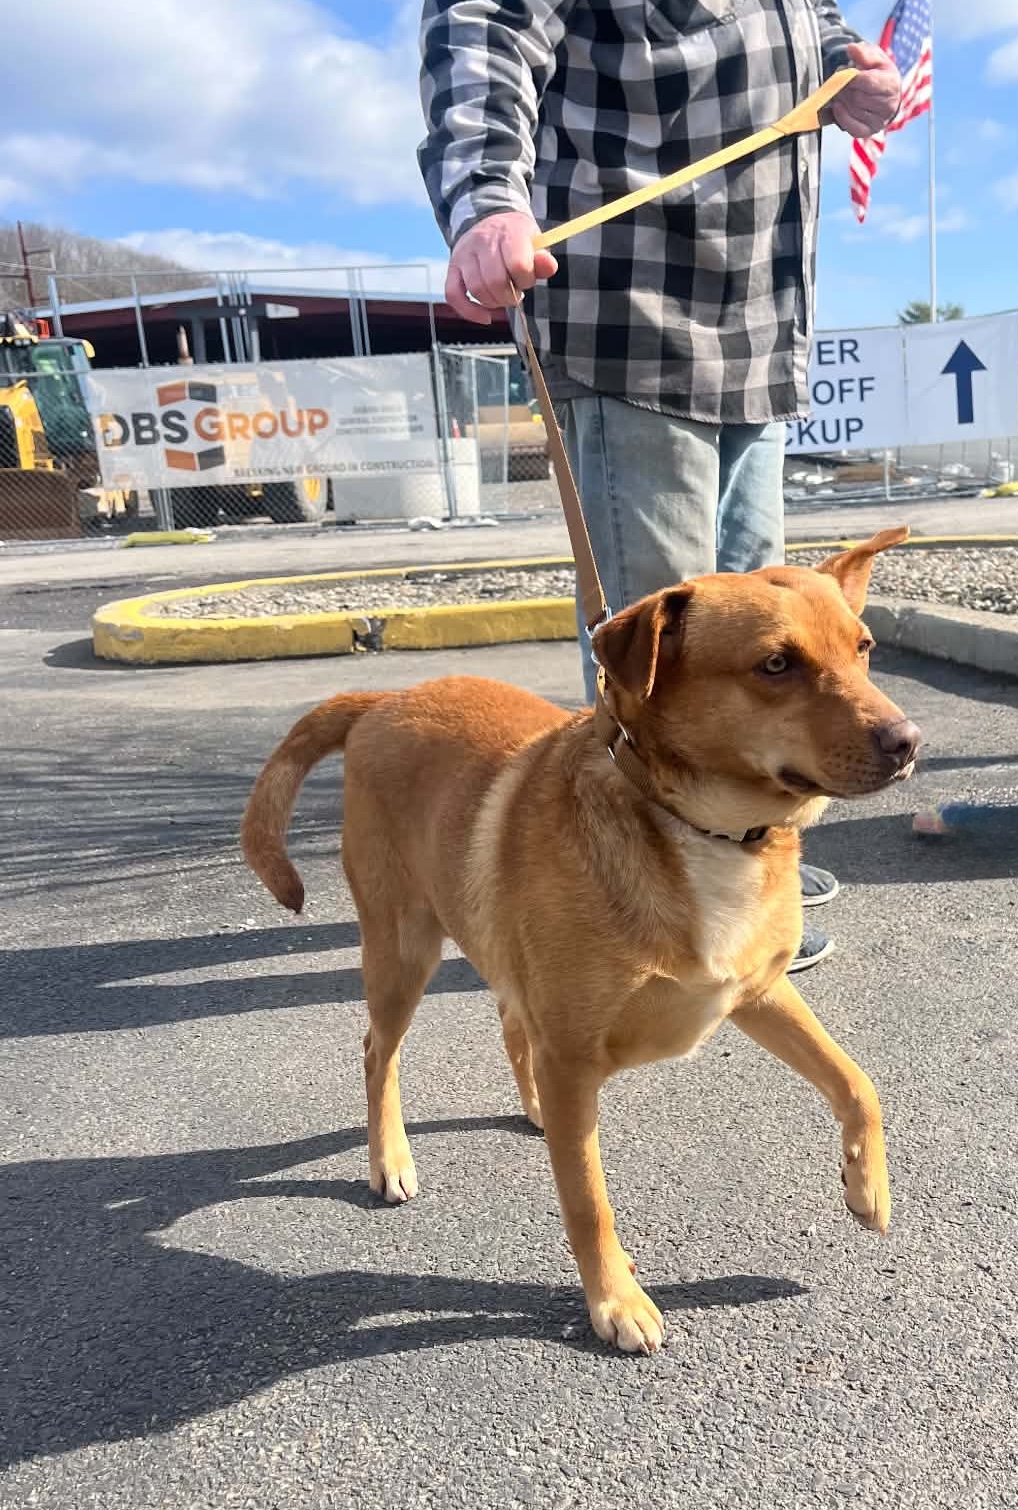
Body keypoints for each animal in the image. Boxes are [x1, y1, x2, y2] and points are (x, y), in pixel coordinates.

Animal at [242, 525, 920, 1354]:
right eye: (776, 665)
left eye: (865, 648)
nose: (908, 741)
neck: (698, 830)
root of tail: (384, 699)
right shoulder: (573, 1057)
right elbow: (588, 1201)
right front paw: (615, 1302)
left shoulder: (756, 992)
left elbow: (858, 1083)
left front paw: (867, 1186)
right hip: (403, 952)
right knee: (379, 1053)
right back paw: (389, 1158)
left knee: (509, 1020)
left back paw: (532, 1107)